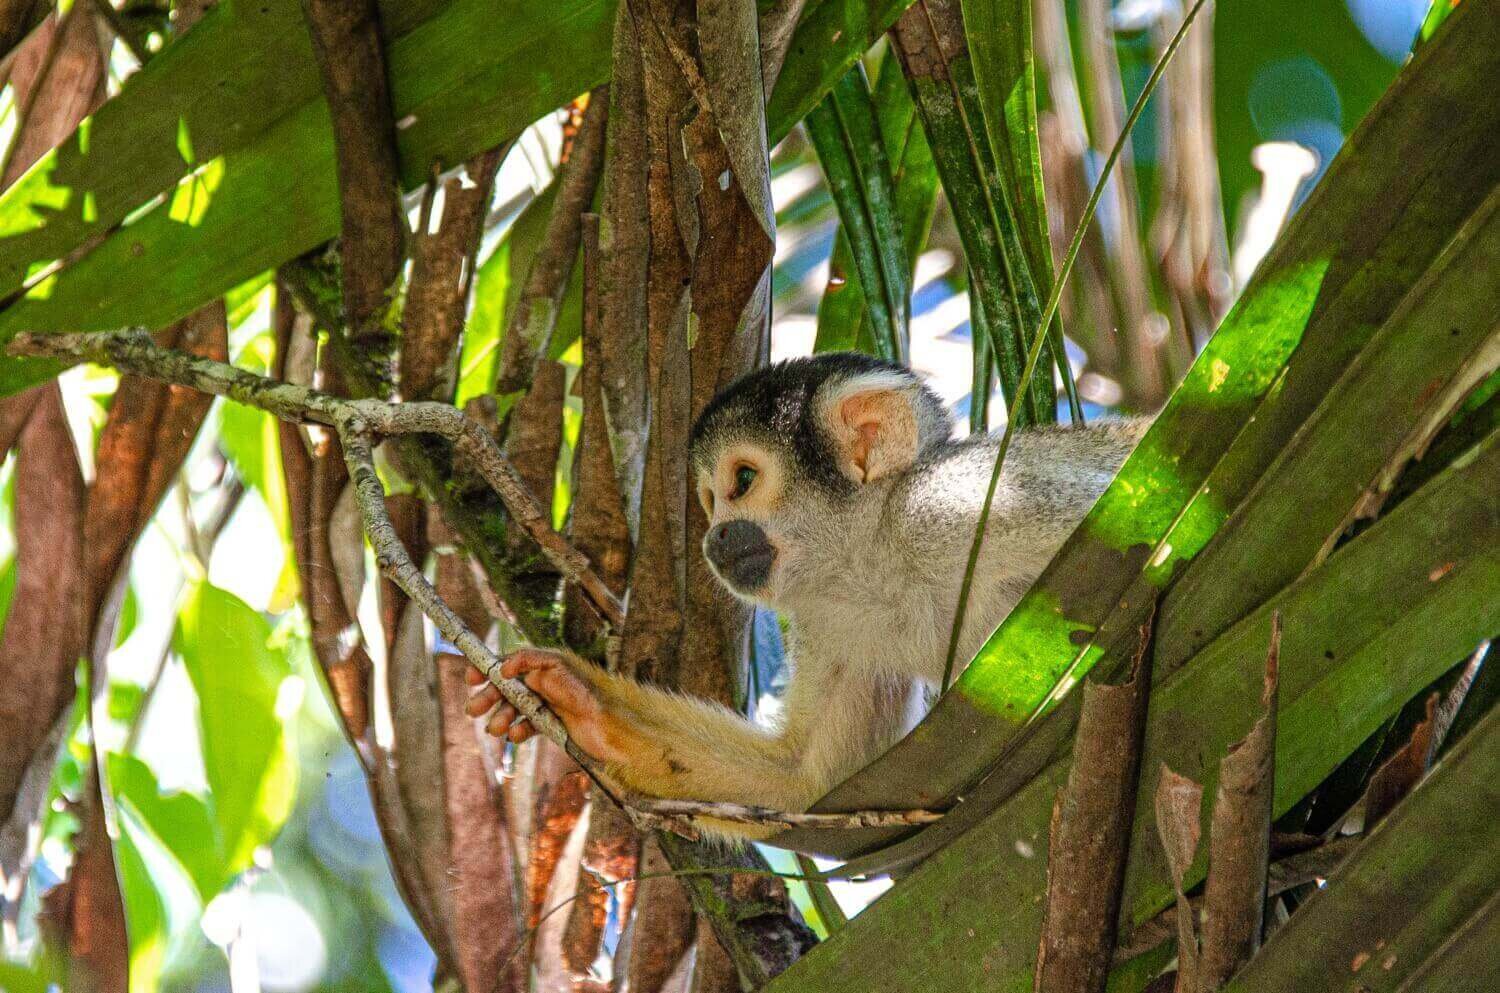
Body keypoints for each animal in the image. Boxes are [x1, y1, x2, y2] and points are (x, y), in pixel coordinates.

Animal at [462, 354, 1140, 834]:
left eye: (742, 480)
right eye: (709, 499)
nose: (713, 536)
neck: (878, 554)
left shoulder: (957, 503)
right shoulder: (832, 625)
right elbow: (805, 783)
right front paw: (581, 702)